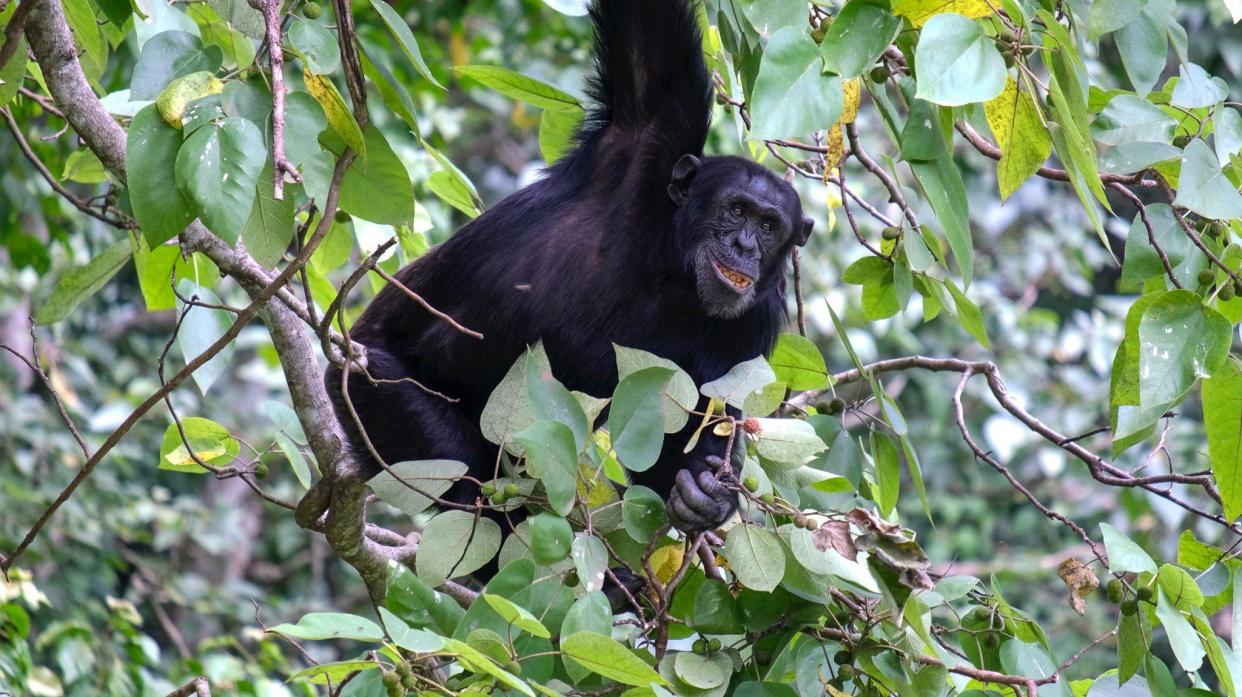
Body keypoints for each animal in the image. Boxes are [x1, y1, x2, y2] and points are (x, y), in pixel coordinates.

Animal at [330, 0, 814, 531]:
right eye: (736, 210)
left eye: (769, 225)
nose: (745, 244)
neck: (675, 273)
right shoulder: (653, 133)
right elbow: (648, 38)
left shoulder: (749, 326)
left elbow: (701, 416)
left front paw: (706, 495)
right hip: (373, 382)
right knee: (465, 473)